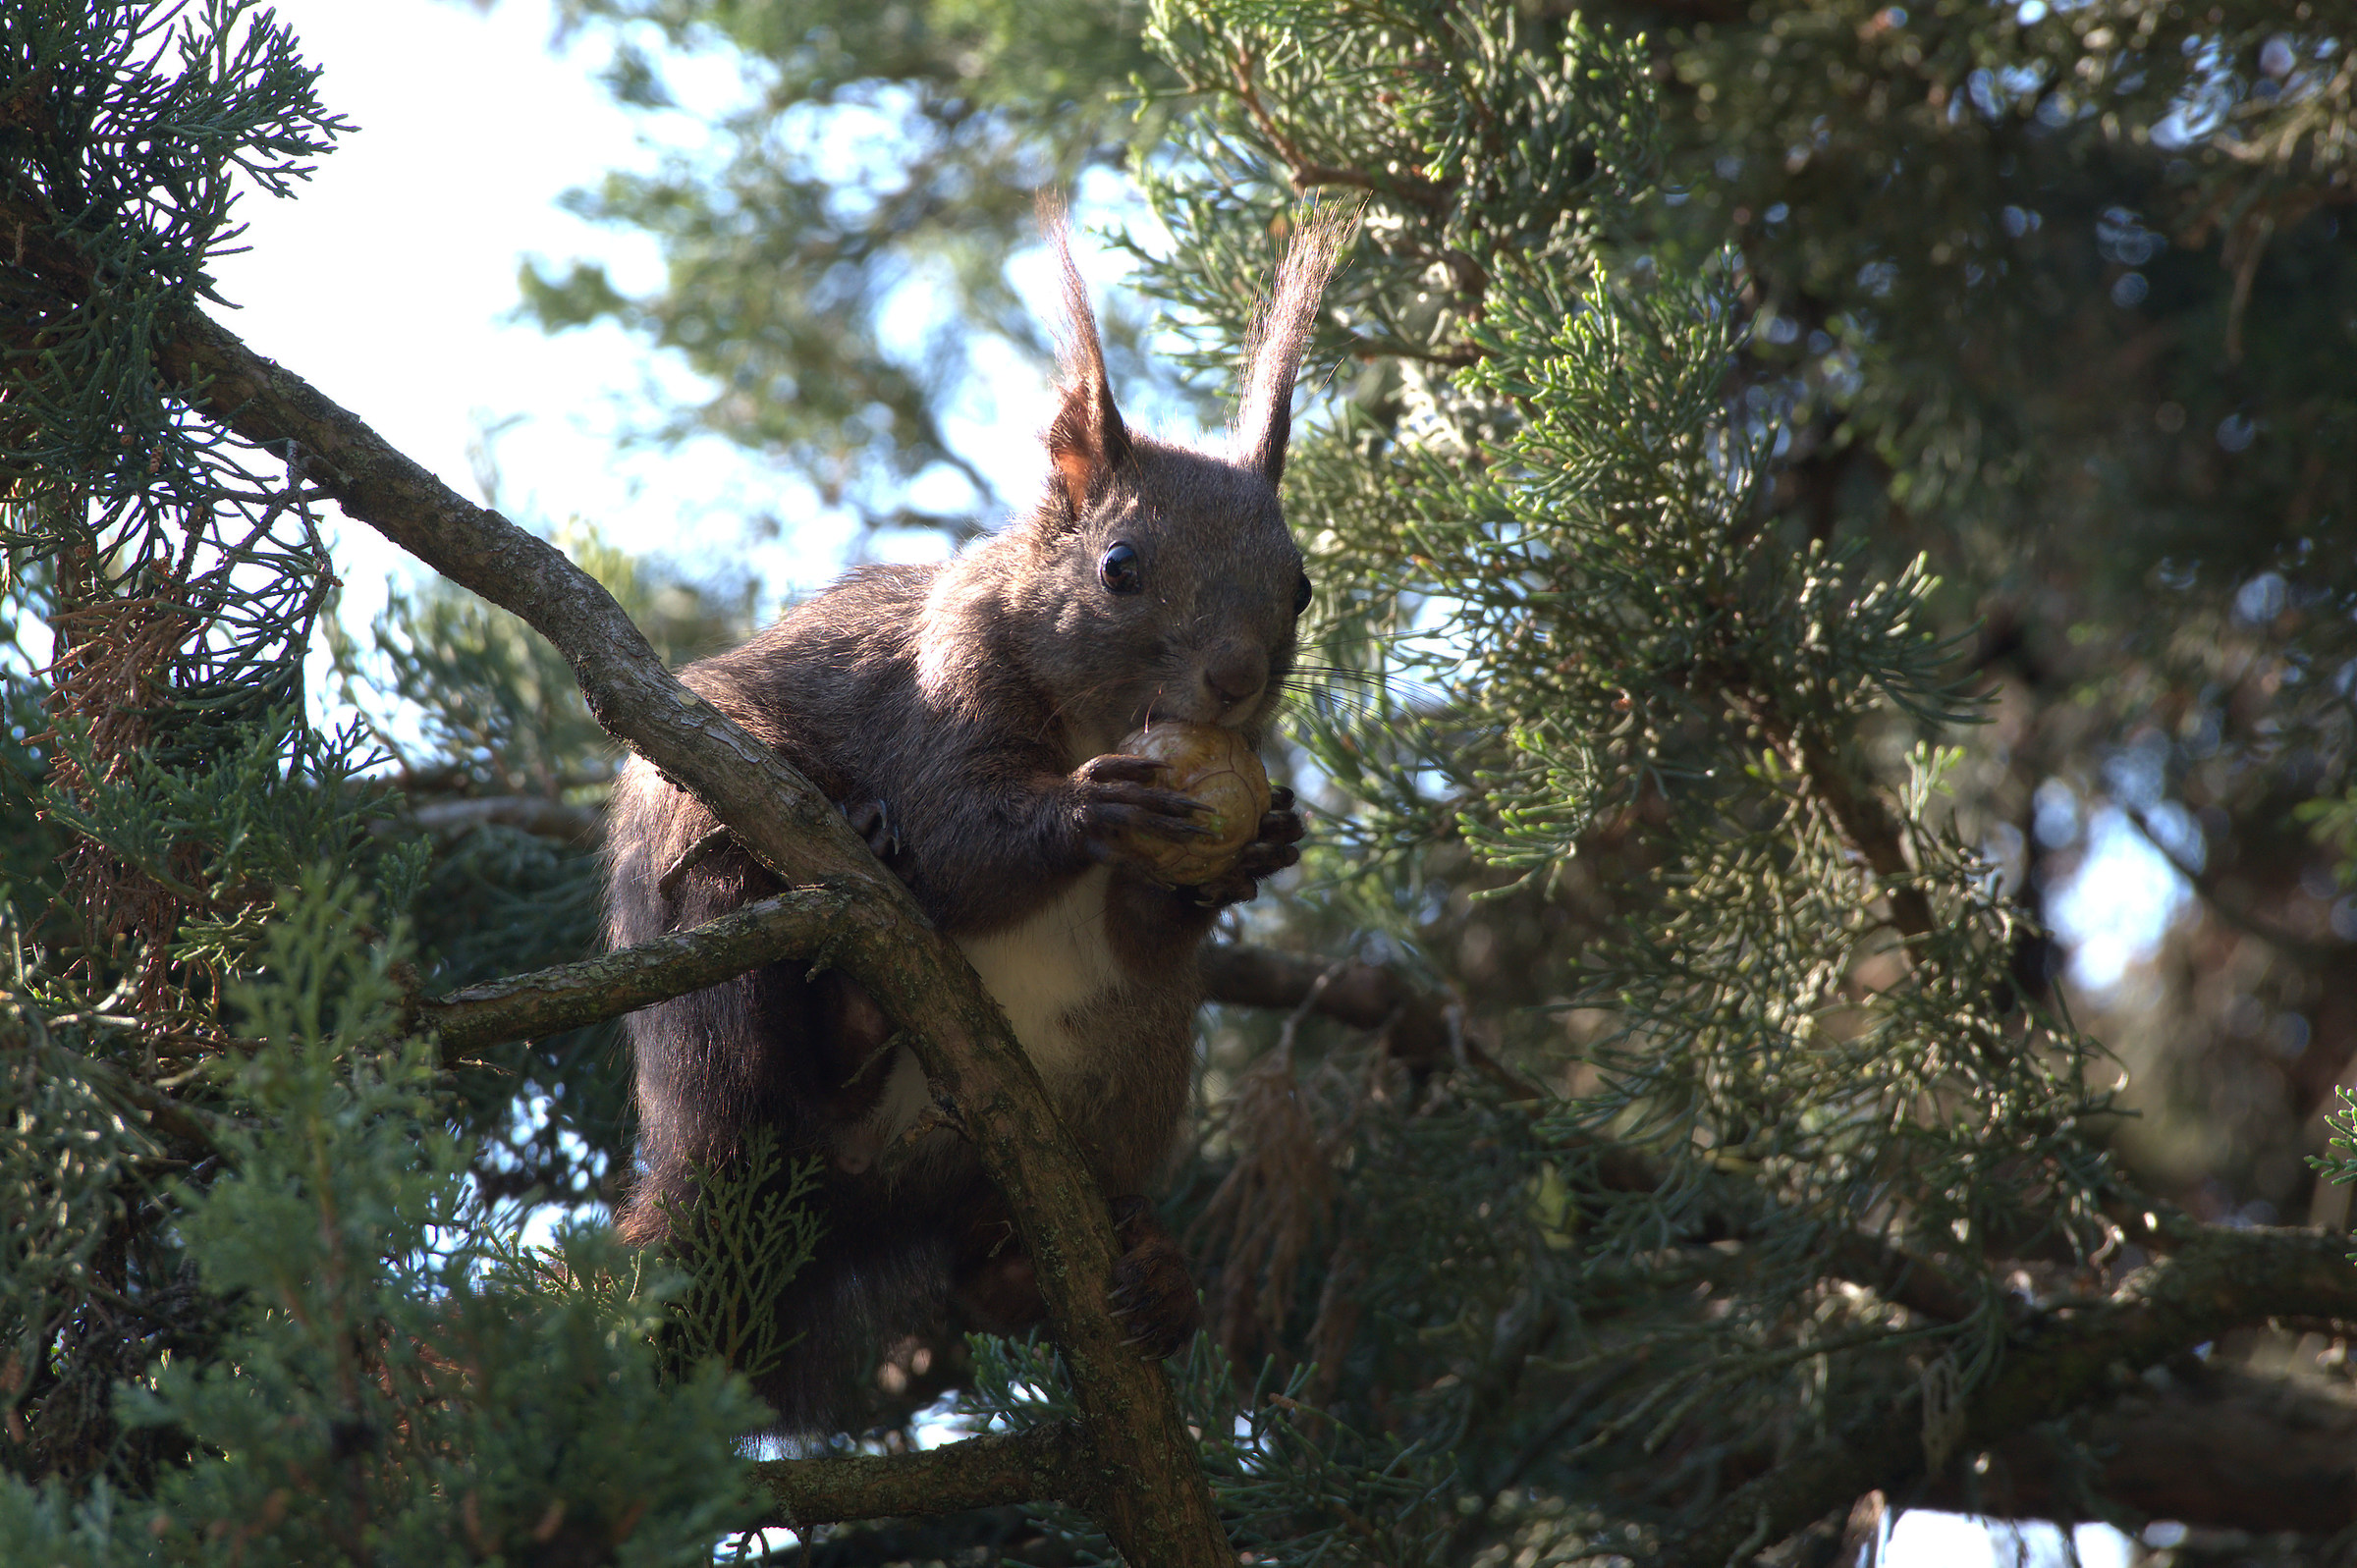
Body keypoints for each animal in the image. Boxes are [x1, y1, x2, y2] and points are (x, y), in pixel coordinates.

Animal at [603, 206, 1344, 1434]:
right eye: (1120, 566)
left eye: (1301, 586)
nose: (1238, 680)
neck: (1097, 718)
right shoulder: (939, 690)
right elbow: (956, 839)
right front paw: (1094, 805)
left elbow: (1144, 929)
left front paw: (1250, 856)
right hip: (708, 946)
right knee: (770, 1051)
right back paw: (849, 1017)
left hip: (1127, 1076)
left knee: (979, 1263)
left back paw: (1122, 1269)